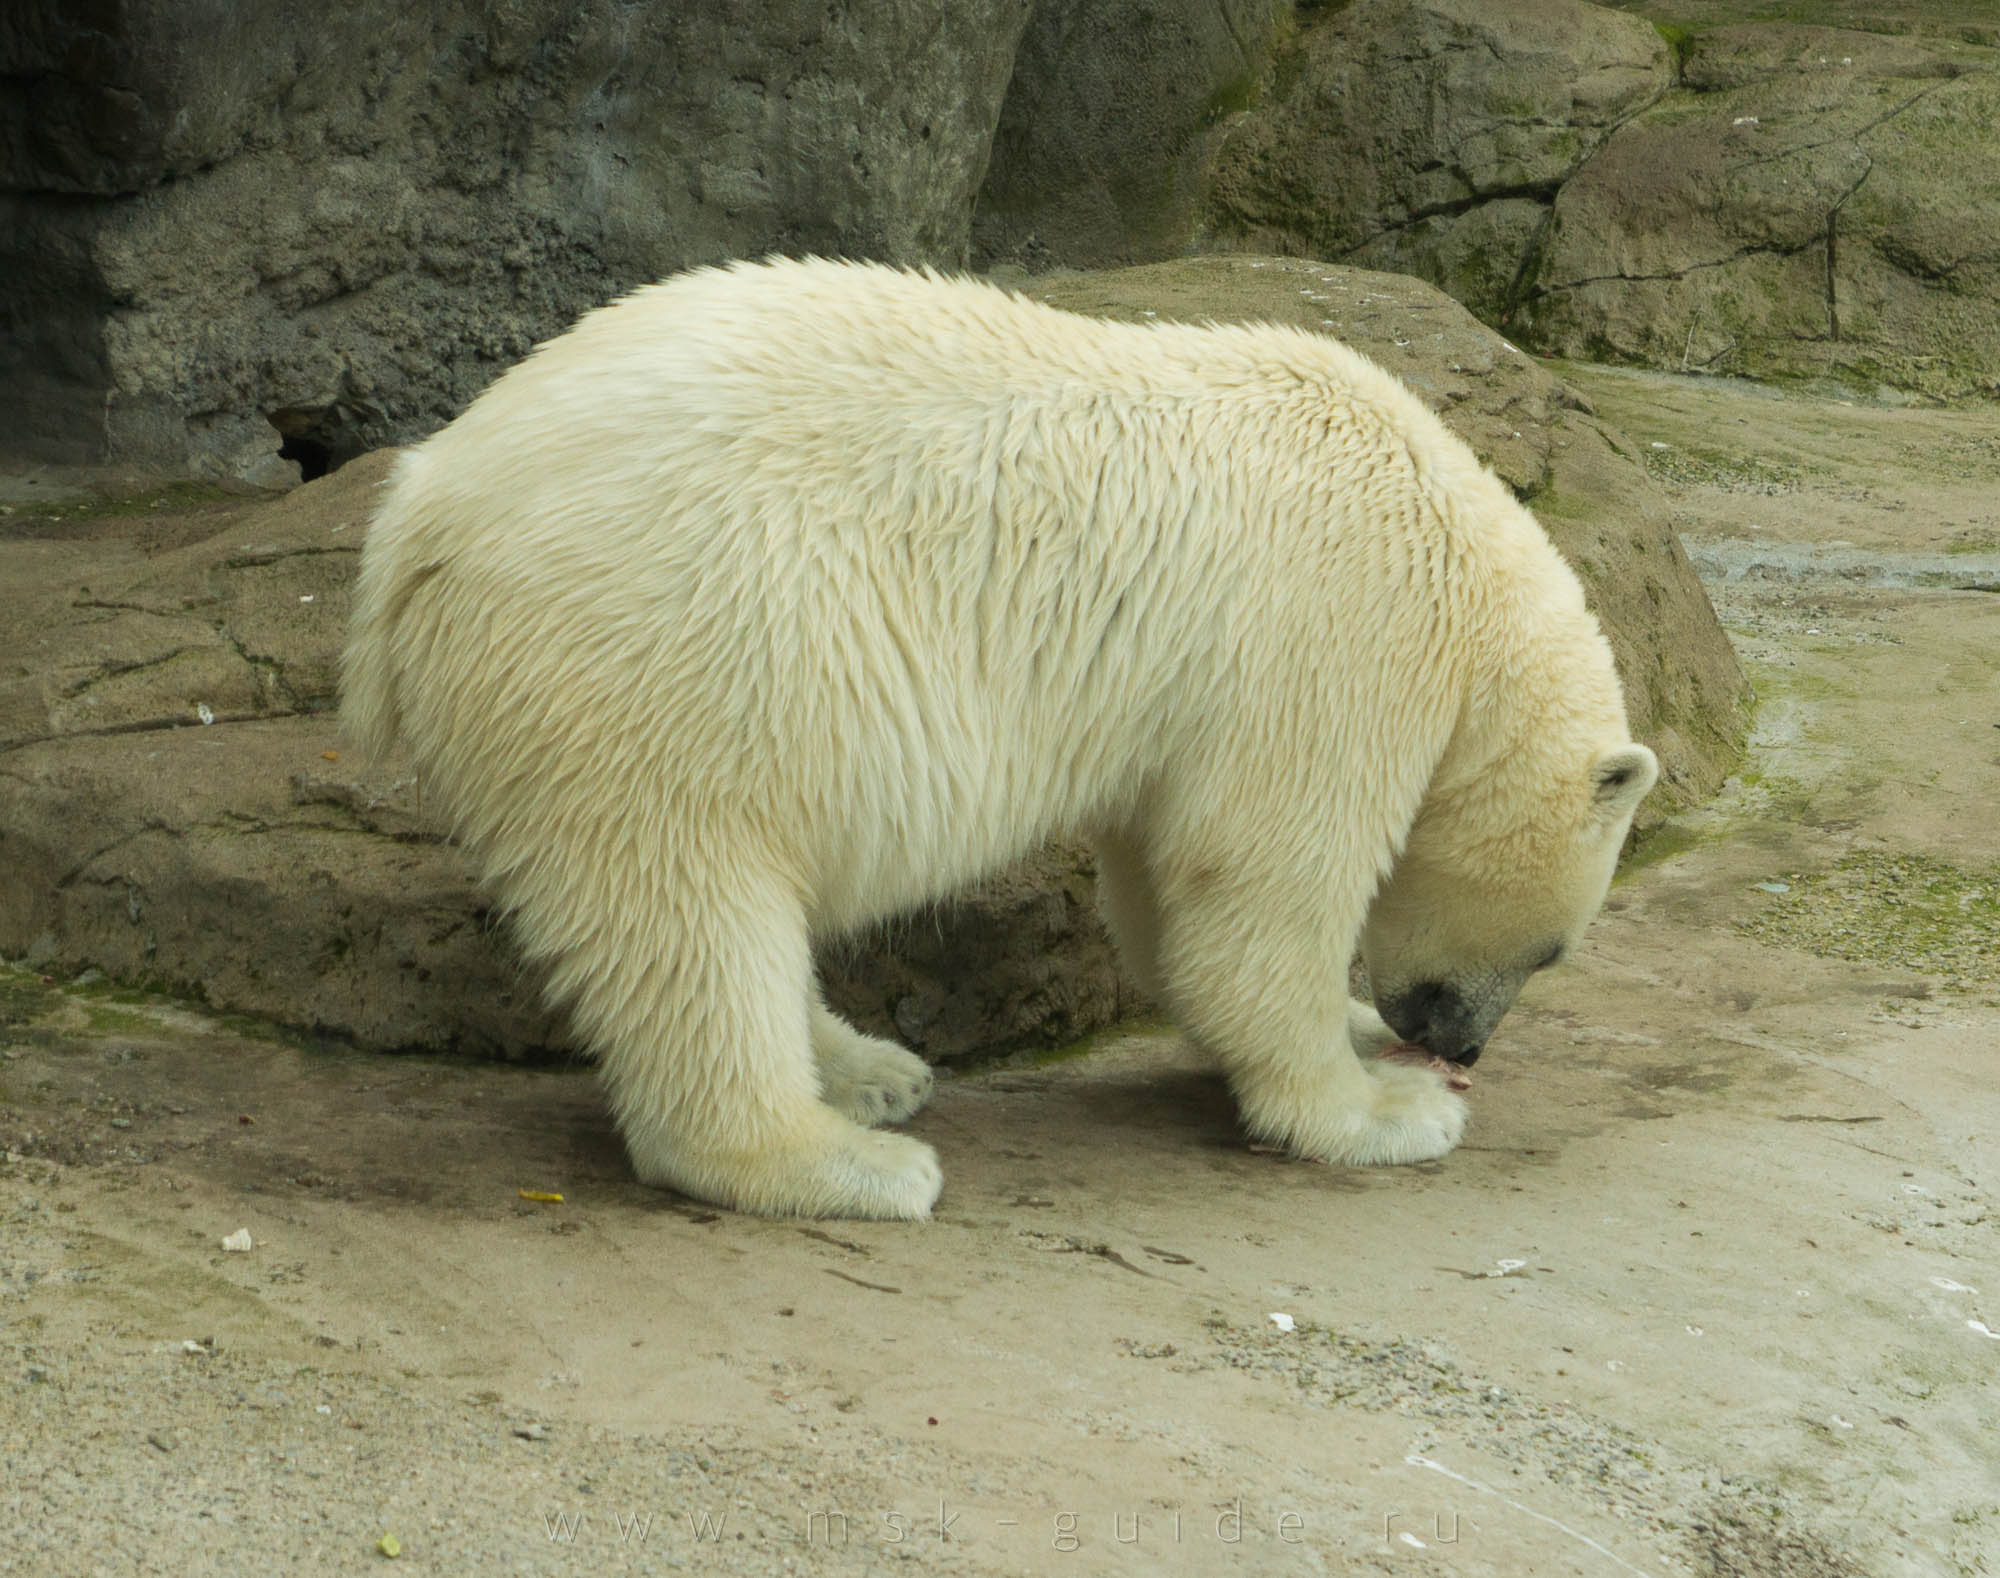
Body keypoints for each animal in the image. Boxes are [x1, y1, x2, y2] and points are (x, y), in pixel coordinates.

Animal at [343, 257, 1657, 1220]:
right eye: (1551, 949)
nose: (1459, 1041)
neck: (1464, 572)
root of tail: (419, 512)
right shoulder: (1340, 631)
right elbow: (1265, 879)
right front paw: (1383, 1109)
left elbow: (1163, 890)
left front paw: (1357, 1032)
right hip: (665, 650)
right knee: (683, 900)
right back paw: (836, 1160)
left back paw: (871, 1072)